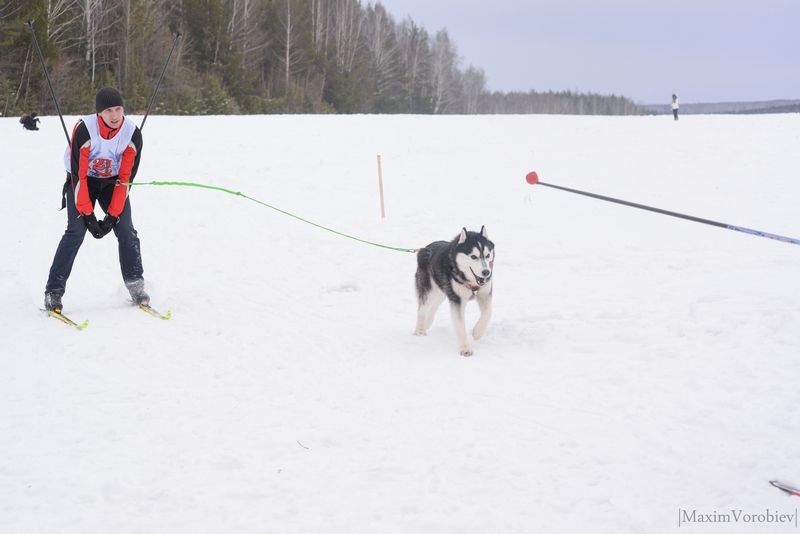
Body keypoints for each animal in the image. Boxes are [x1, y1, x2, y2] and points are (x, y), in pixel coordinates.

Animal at [412, 226, 494, 356]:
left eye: (487, 255)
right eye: (473, 256)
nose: (486, 272)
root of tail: (424, 249)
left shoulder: (485, 294)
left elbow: (488, 313)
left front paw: (477, 332)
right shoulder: (457, 300)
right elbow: (460, 325)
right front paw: (465, 349)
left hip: (441, 292)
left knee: (433, 307)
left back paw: (427, 323)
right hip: (429, 291)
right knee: (422, 309)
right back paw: (419, 330)